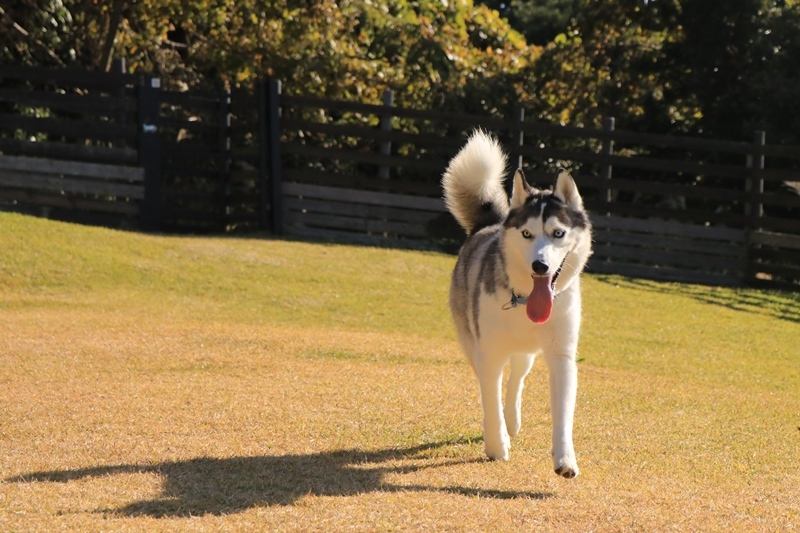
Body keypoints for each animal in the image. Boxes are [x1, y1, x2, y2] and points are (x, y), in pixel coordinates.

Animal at [440, 130, 592, 478]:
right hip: (472, 343)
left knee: (517, 379)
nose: (540, 266)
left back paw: (513, 419)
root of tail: (488, 225)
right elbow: (489, 397)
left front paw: (565, 459)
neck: (523, 300)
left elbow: (562, 412)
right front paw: (497, 445)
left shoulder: (561, 355)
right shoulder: (490, 352)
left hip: (526, 354)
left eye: (558, 233)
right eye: (526, 234)